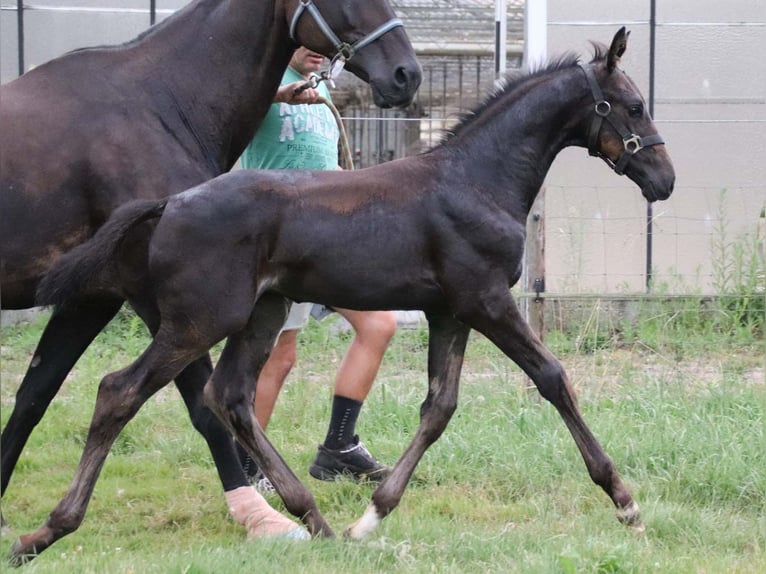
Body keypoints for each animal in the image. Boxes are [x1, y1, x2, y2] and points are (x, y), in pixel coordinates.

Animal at [0, 0, 420, 556]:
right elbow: (203, 404)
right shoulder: (166, 302)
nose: (406, 74)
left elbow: (33, 396)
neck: (159, 103)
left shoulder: (90, 297)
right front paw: (260, 516)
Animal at [34, 29, 672, 556]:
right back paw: (47, 531)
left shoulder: (449, 312)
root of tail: (169, 203)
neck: (475, 180)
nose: (665, 180)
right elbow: (553, 378)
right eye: (633, 106)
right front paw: (625, 502)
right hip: (200, 319)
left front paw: (370, 518)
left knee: (229, 395)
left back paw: (313, 518)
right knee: (120, 391)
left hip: (260, 313)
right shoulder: (486, 300)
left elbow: (439, 408)